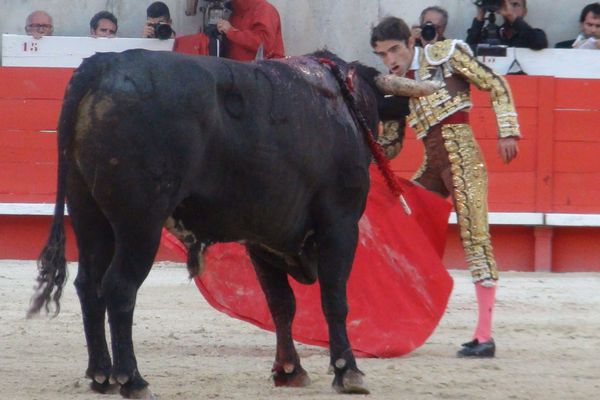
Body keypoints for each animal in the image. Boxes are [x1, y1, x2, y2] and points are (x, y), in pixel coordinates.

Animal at [27, 48, 404, 396]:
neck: (343, 105)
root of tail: (102, 63)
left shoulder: (262, 238)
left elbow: (281, 304)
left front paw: (289, 370)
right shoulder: (339, 225)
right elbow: (334, 299)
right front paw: (347, 372)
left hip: (88, 213)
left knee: (89, 284)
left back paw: (101, 375)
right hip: (140, 223)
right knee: (120, 286)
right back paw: (132, 380)